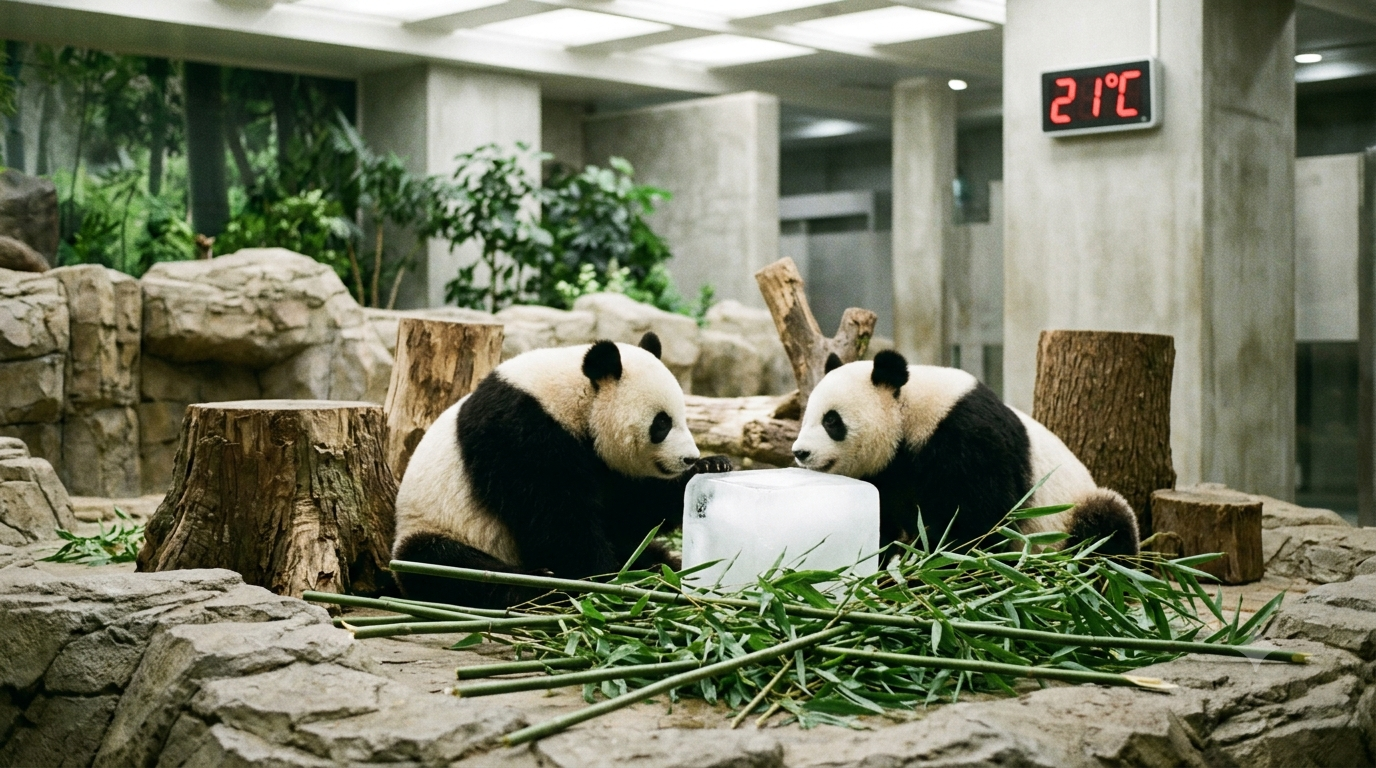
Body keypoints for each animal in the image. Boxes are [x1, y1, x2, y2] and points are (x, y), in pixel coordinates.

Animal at [392, 333, 731, 607]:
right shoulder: (519, 433)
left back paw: (660, 569)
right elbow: (556, 516)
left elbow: (630, 509)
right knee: (447, 568)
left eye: (683, 417)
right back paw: (537, 584)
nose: (688, 458)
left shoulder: (605, 465)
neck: (571, 397)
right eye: (661, 423)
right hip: (433, 528)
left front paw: (713, 465)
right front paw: (604, 579)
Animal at [790, 349, 1139, 557]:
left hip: (1071, 512)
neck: (910, 416)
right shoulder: (888, 476)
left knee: (1105, 526)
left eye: (831, 421)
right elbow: (881, 523)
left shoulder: (968, 440)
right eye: (806, 416)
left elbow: (977, 523)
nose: (800, 452)